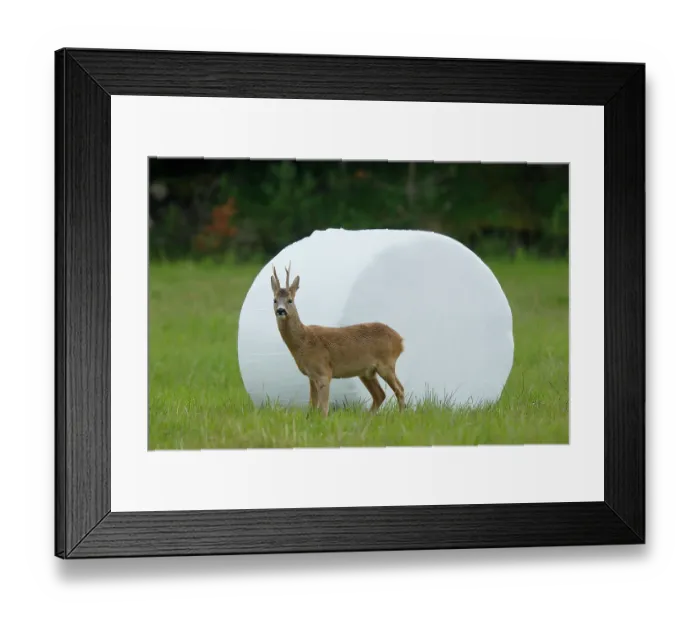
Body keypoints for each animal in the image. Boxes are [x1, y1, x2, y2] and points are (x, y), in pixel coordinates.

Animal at [271, 263, 406, 418]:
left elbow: (324, 408)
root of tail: (400, 340)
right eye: (274, 300)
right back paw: (367, 419)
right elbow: (312, 407)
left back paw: (401, 416)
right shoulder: (311, 376)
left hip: (386, 363)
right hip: (367, 372)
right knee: (380, 394)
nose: (281, 310)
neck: (303, 342)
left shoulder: (324, 371)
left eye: (290, 300)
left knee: (400, 390)